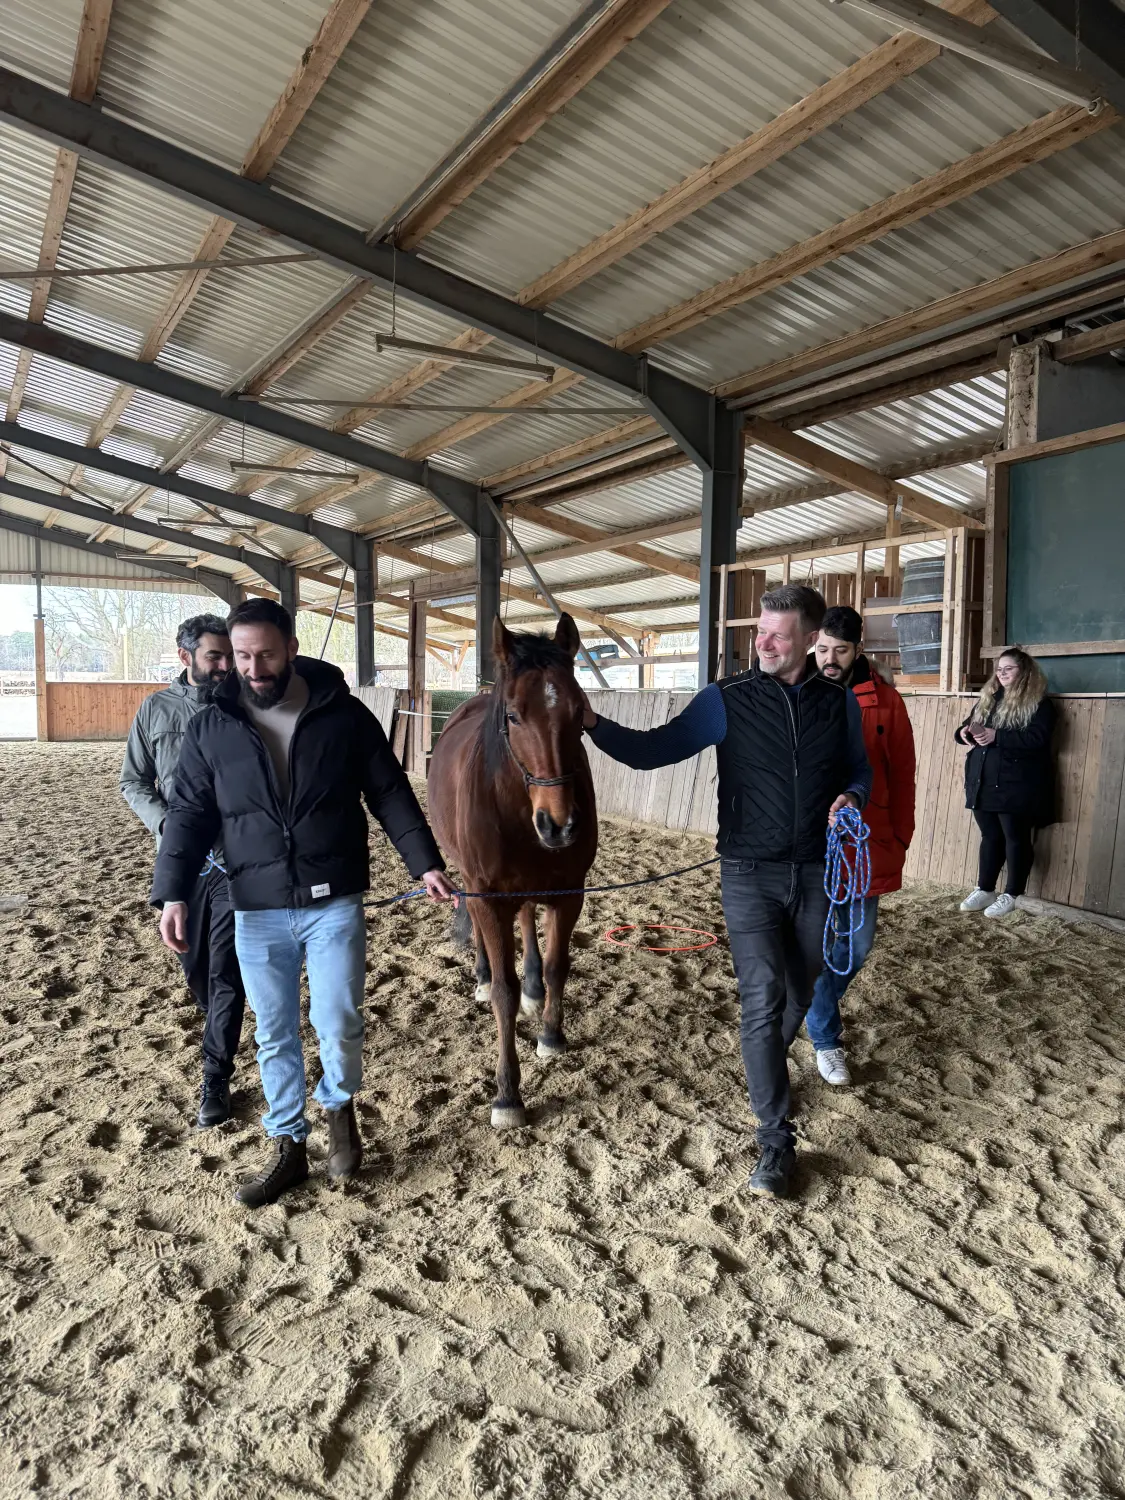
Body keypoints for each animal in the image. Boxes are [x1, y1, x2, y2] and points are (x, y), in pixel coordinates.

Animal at [426, 609, 600, 1128]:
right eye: (513, 715)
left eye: (580, 714)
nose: (560, 825)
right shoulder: (487, 894)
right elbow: (504, 992)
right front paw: (507, 1094)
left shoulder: (569, 893)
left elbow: (560, 965)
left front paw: (550, 1034)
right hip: (473, 886)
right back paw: (484, 977)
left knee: (525, 919)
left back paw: (534, 987)